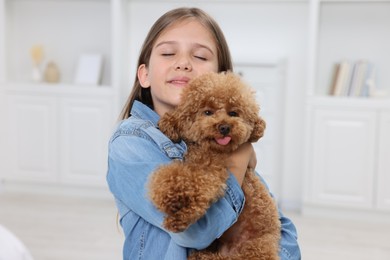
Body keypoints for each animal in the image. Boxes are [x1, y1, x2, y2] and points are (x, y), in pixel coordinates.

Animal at [149, 71, 280, 260]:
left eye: (233, 113)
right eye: (207, 112)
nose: (224, 127)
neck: (209, 151)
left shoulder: (212, 174)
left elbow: (197, 186)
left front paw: (179, 216)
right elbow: (171, 175)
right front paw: (171, 199)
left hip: (254, 249)